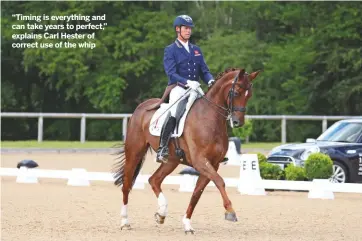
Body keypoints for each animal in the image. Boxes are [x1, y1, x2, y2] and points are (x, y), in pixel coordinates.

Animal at [112, 67, 260, 233]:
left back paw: (161, 213)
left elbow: (197, 193)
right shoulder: (200, 161)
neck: (210, 119)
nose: (238, 122)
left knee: (154, 180)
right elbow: (220, 181)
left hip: (171, 160)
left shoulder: (213, 164)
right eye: (236, 93)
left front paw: (187, 224)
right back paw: (125, 221)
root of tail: (140, 107)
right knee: (127, 184)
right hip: (134, 152)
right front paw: (230, 212)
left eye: (249, 95)